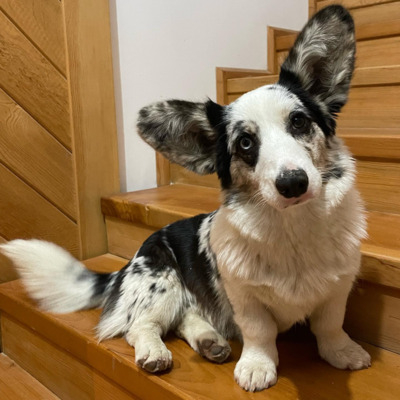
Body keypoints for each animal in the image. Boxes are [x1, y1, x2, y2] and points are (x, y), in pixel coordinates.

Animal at [1, 5, 372, 390]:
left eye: (299, 121)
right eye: (245, 143)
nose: (293, 183)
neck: (293, 229)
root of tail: (127, 264)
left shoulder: (337, 290)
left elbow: (329, 325)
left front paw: (342, 352)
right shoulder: (245, 297)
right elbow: (260, 332)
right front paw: (258, 365)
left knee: (186, 320)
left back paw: (210, 342)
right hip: (162, 283)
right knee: (140, 326)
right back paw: (154, 353)